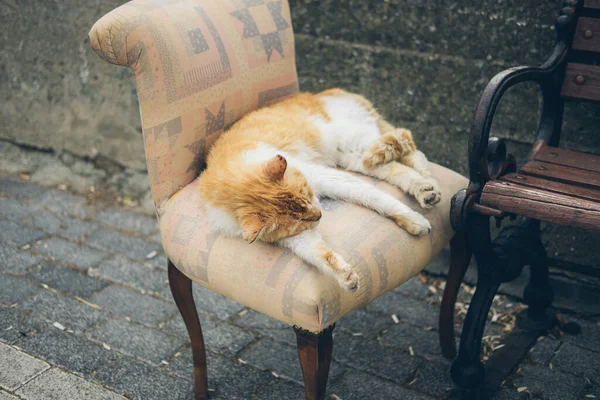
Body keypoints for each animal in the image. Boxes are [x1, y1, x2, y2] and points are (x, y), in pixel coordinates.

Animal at [197, 89, 440, 292]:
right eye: (299, 221)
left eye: (307, 194)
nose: (320, 215)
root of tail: (331, 92)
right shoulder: (293, 238)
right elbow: (318, 253)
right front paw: (344, 276)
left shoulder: (325, 177)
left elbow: (377, 198)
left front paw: (414, 219)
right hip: (355, 157)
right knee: (397, 166)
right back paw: (425, 189)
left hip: (358, 142)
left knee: (407, 144)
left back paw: (429, 185)